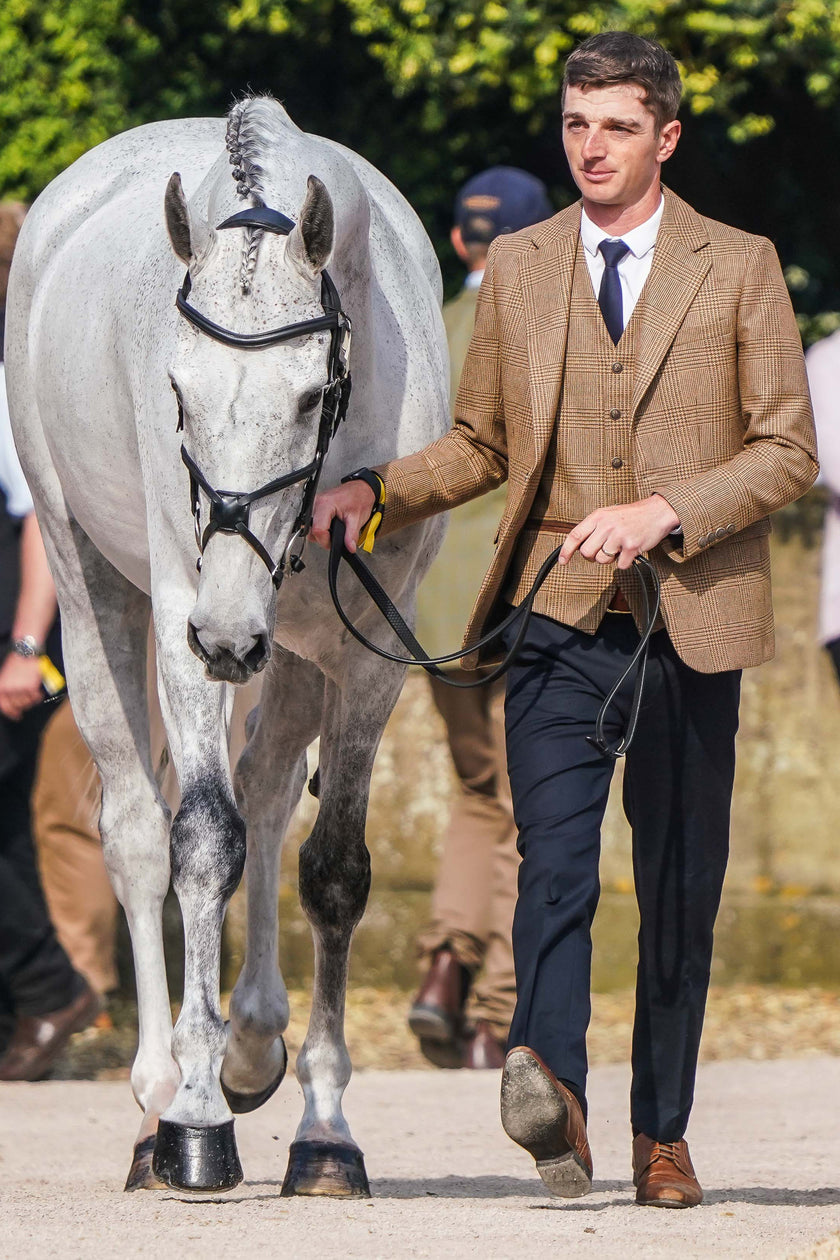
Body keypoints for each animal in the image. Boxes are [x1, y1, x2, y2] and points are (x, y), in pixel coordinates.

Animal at [4, 93, 445, 1194]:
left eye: (308, 395)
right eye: (178, 390)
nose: (227, 630)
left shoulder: (364, 652)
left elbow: (334, 868)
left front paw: (324, 1129)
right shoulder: (181, 617)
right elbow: (204, 842)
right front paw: (198, 1119)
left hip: (290, 652)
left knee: (273, 789)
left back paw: (249, 1043)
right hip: (90, 587)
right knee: (138, 831)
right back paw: (162, 1092)